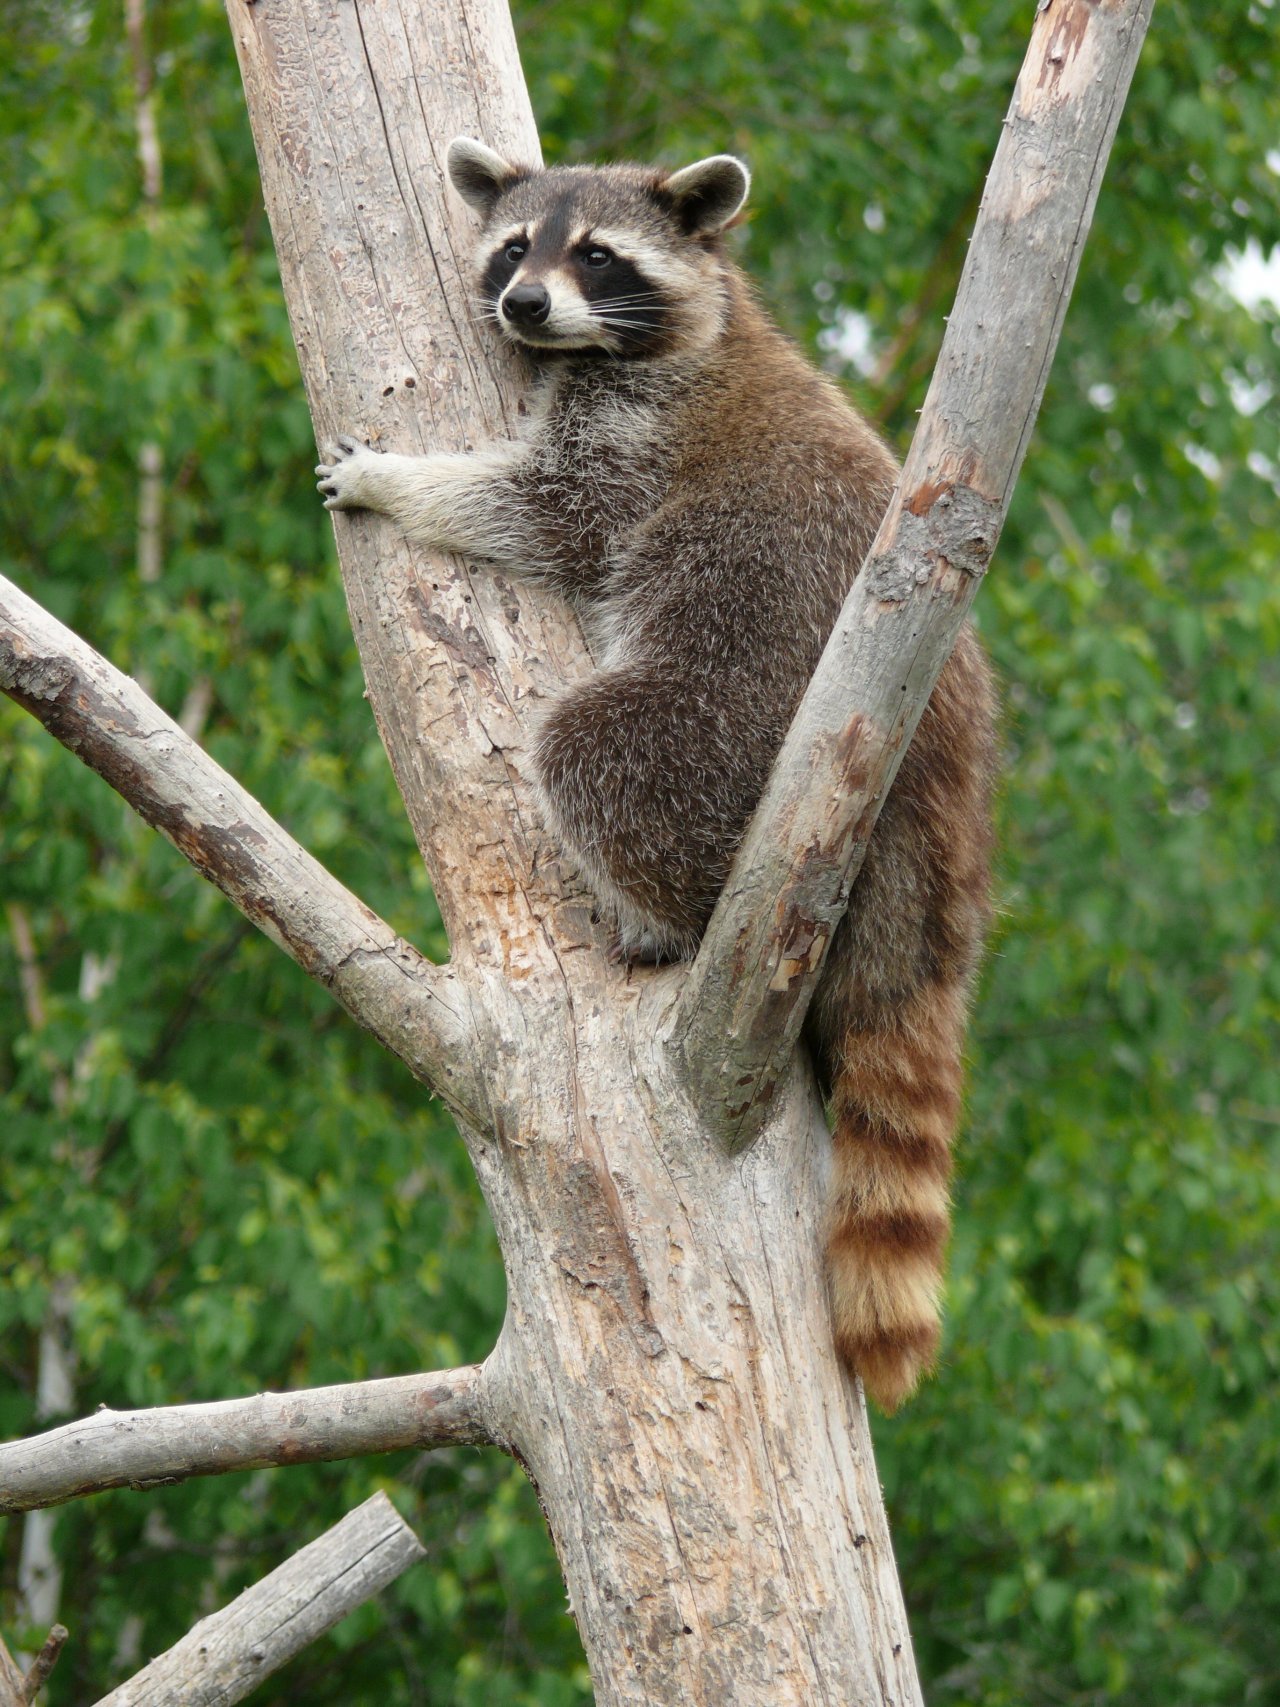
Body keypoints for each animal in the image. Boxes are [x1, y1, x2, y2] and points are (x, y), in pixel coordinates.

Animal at [315, 136, 996, 1413]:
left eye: (595, 256)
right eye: (514, 250)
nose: (522, 306)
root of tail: (942, 797)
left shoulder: (638, 441)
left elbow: (544, 512)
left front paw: (401, 479)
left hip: (732, 721)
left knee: (595, 749)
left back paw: (660, 916)